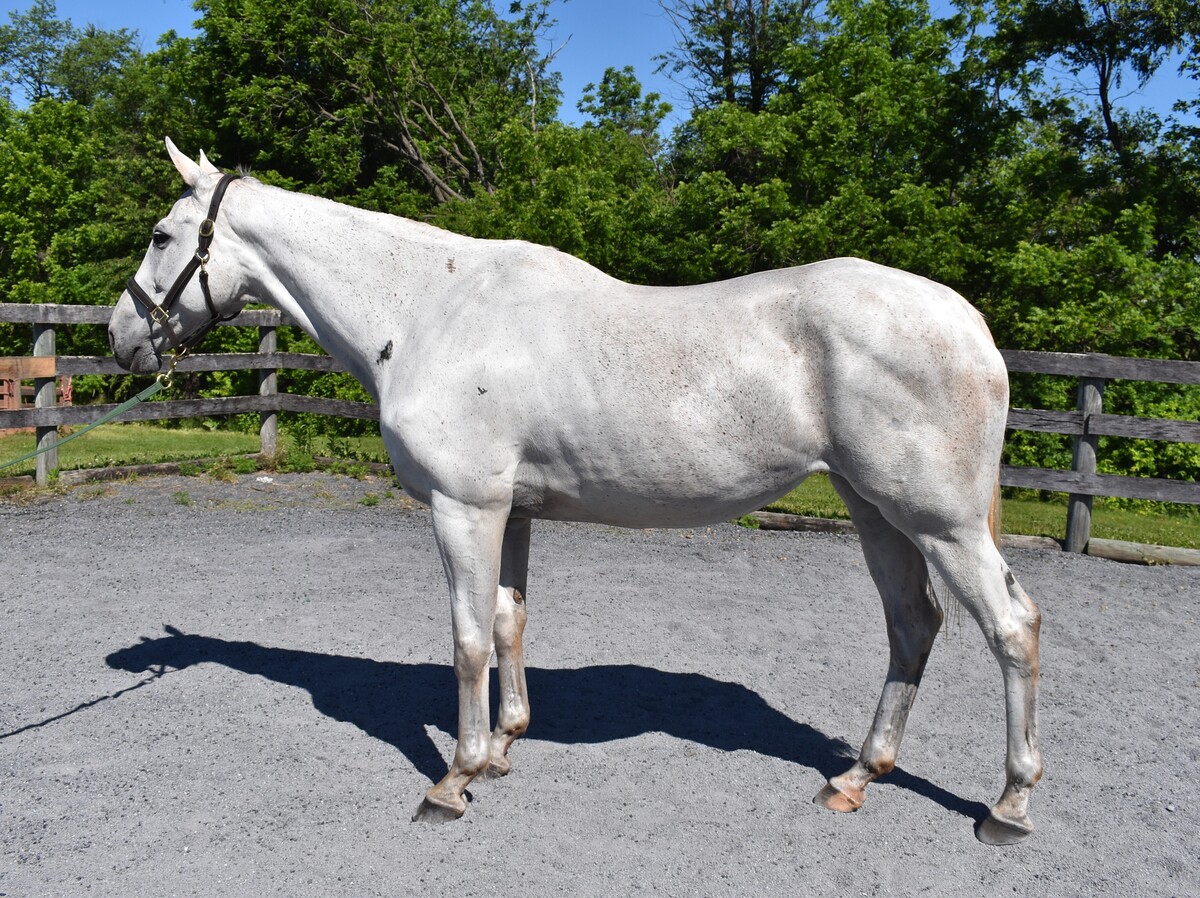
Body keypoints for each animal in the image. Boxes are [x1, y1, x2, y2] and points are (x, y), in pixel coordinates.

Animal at [109, 140, 1042, 844]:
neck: (428, 309)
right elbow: (509, 624)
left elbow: (468, 641)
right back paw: (855, 777)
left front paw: (451, 781)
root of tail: (969, 322)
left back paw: (1007, 805)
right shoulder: (512, 511)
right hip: (874, 511)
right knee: (912, 626)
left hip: (941, 522)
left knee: (1011, 629)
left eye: (160, 234)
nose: (122, 340)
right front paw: (501, 750)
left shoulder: (464, 509)